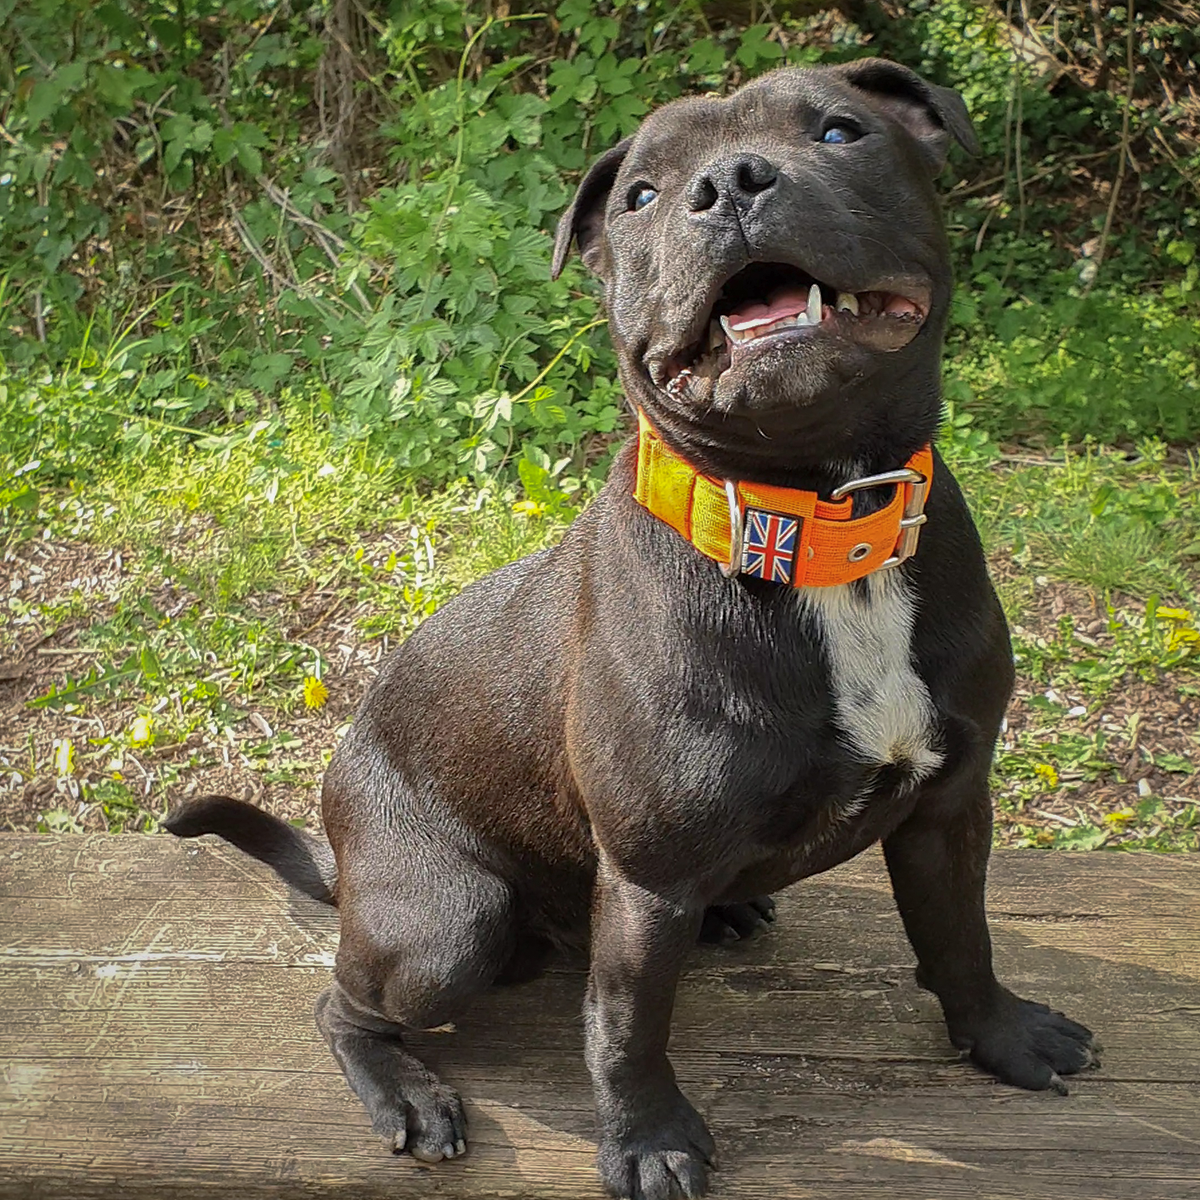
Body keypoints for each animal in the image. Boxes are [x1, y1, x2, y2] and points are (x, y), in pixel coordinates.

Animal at [166, 58, 1099, 1200]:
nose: (731, 183)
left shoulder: (950, 803)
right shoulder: (649, 882)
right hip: (446, 929)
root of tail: (345, 860)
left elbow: (961, 936)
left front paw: (1002, 1037)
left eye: (841, 131)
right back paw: (406, 1093)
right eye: (642, 196)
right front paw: (649, 1139)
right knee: (340, 1005)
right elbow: (626, 1026)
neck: (820, 525)